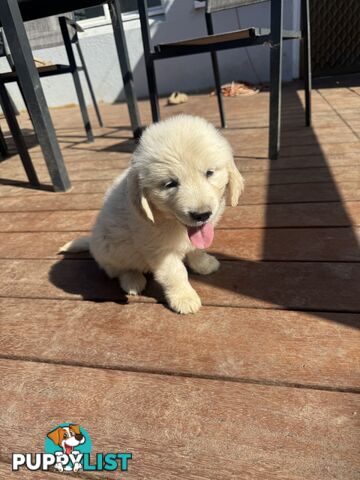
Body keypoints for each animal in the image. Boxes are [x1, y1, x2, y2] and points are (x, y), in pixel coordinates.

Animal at [60, 114, 243, 314]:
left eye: (209, 173)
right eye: (170, 183)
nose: (201, 215)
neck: (171, 222)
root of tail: (91, 241)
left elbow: (197, 248)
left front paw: (203, 264)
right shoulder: (158, 249)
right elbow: (176, 273)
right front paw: (184, 298)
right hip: (109, 249)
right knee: (118, 269)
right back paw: (132, 280)